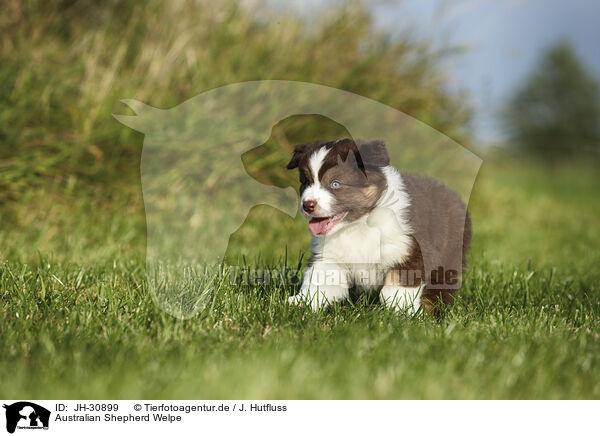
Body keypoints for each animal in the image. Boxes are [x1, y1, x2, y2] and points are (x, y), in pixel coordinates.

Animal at [288, 139, 474, 314]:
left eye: (335, 184)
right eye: (306, 182)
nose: (307, 205)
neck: (359, 224)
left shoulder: (408, 251)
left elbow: (394, 291)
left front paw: (403, 314)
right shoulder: (330, 256)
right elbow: (320, 281)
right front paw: (300, 303)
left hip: (448, 257)